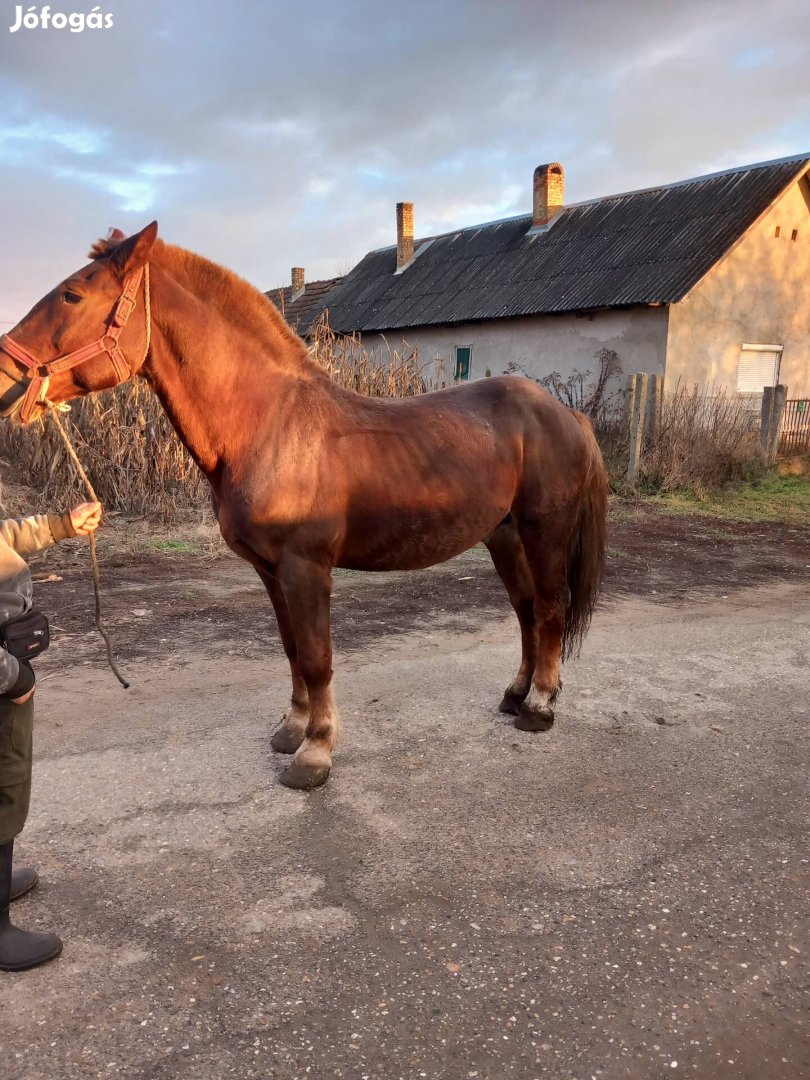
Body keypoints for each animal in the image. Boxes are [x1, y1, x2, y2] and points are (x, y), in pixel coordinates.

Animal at [0, 223, 609, 790]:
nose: (7, 376)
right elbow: (293, 650)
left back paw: (539, 706)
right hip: (502, 535)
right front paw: (291, 731)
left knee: (550, 609)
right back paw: (515, 694)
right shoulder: (271, 572)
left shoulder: (305, 568)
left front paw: (314, 754)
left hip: (544, 532)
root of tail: (564, 413)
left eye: (73, 294)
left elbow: (318, 659)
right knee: (526, 610)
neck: (268, 426)